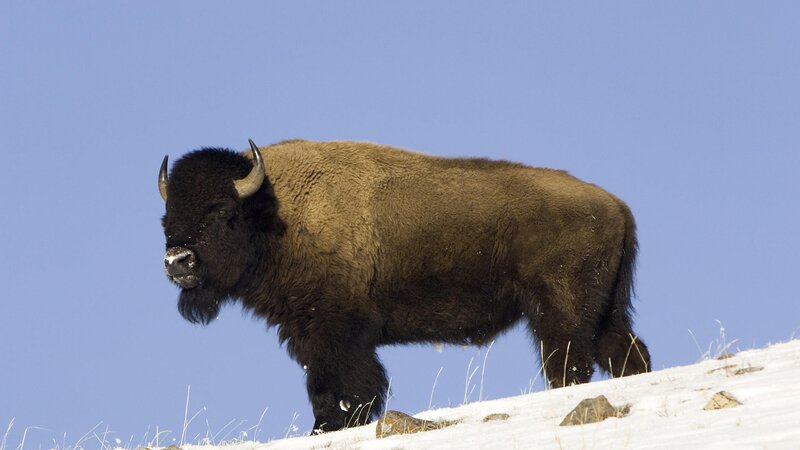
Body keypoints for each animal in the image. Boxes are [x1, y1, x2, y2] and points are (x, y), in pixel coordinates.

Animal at [159, 139, 650, 432]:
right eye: (166, 218)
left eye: (223, 212)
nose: (178, 262)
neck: (275, 213)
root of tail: (617, 206)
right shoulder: (308, 333)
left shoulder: (336, 335)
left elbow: (344, 389)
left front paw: (330, 427)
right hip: (605, 311)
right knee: (626, 354)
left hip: (560, 311)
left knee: (568, 364)